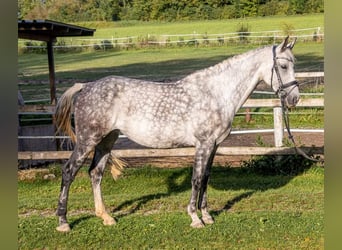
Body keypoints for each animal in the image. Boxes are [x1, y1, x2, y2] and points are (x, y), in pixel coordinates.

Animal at [54, 36, 298, 231]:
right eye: (283, 65)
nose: (294, 99)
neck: (216, 93)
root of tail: (86, 86)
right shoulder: (203, 144)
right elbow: (196, 179)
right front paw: (195, 218)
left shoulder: (214, 145)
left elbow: (206, 178)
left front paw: (207, 216)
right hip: (87, 140)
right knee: (68, 172)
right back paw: (63, 222)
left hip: (107, 140)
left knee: (96, 173)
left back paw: (106, 217)